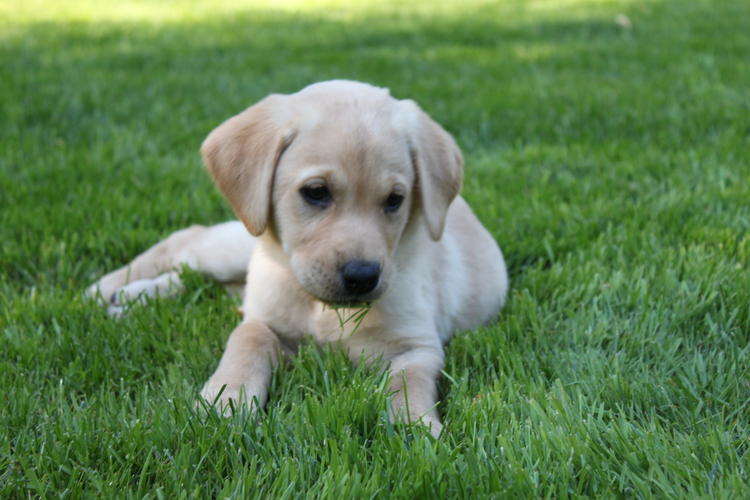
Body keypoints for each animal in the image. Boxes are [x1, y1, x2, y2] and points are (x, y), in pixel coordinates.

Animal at [88, 80, 512, 436]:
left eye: (395, 200)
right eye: (316, 192)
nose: (363, 276)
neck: (321, 309)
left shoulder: (418, 345)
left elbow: (408, 382)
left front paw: (412, 425)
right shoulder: (264, 320)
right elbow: (247, 342)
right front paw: (225, 402)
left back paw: (128, 300)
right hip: (241, 246)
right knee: (188, 244)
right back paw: (110, 288)